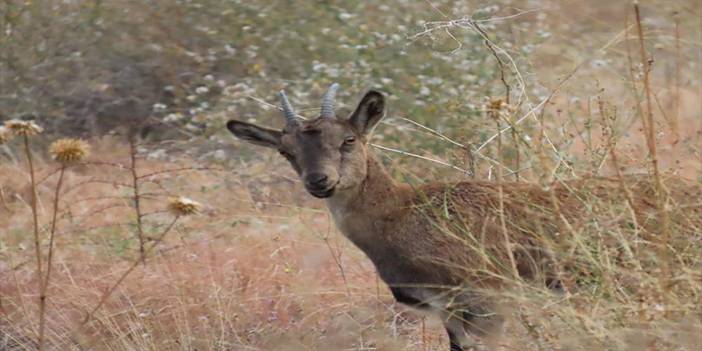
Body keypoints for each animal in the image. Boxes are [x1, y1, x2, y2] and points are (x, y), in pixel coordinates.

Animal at [227, 84, 702, 350]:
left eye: (348, 139)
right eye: (286, 151)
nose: (319, 181)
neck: (401, 217)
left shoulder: (487, 297)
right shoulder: (447, 310)